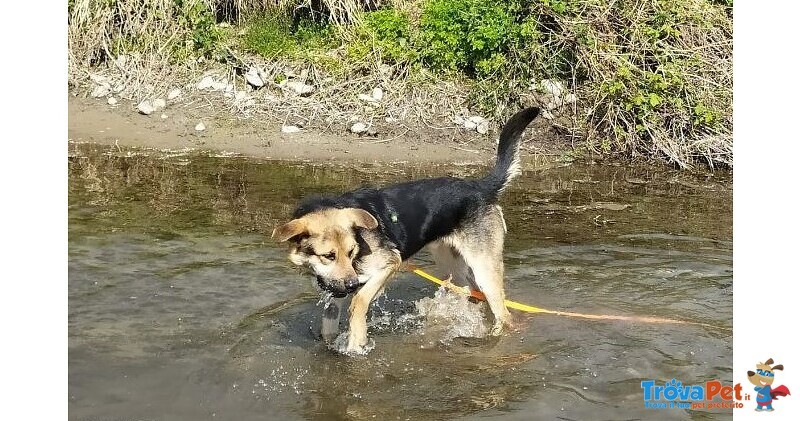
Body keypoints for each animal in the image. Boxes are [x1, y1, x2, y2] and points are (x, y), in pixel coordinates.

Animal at [272, 106, 540, 352]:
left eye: (351, 252)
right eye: (328, 256)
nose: (351, 284)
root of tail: (481, 187)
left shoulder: (390, 263)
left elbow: (359, 301)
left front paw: (357, 341)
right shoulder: (335, 289)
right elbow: (329, 326)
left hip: (484, 269)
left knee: (504, 315)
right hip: (451, 265)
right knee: (474, 296)